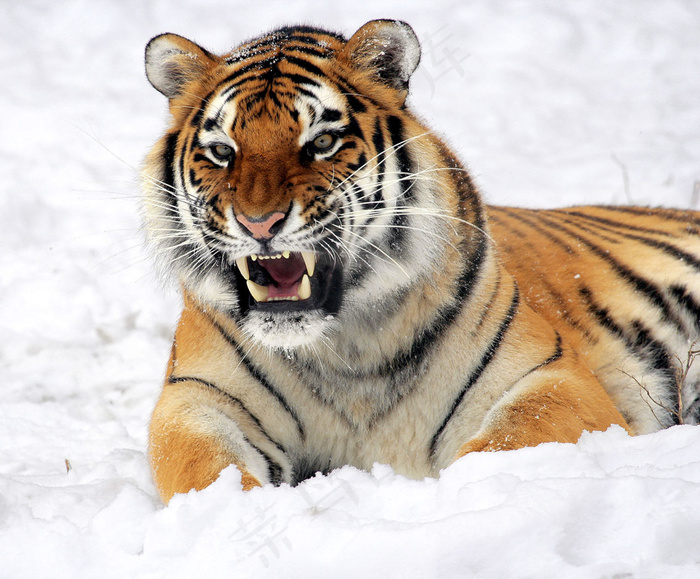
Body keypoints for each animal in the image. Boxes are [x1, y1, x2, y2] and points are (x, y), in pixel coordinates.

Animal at [139, 20, 700, 506]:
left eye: (322, 142)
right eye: (222, 151)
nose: (259, 223)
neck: (345, 349)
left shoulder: (551, 375)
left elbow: (506, 442)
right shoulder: (196, 398)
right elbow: (205, 468)